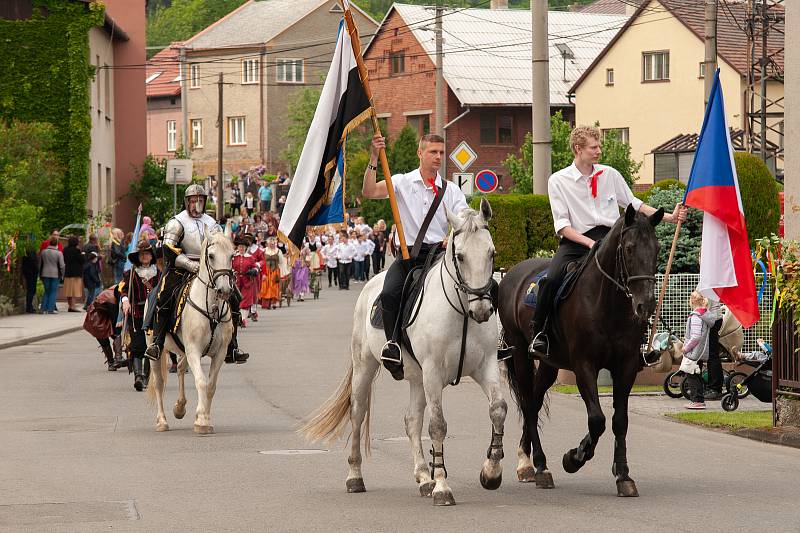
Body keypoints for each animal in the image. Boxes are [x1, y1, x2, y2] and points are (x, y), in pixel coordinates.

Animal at [145, 227, 236, 434]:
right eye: (211, 256)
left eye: (232, 255)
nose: (225, 290)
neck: (212, 308)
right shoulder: (193, 349)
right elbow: (201, 381)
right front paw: (201, 421)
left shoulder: (219, 353)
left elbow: (210, 385)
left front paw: (205, 418)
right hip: (156, 349)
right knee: (159, 383)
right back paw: (162, 421)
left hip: (184, 350)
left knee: (179, 368)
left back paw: (179, 407)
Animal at [300, 197, 506, 504]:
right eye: (460, 256)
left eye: (491, 253)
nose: (481, 310)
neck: (461, 313)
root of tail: (371, 284)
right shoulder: (433, 372)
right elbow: (438, 425)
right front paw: (442, 486)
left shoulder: (486, 366)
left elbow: (498, 410)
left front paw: (491, 473)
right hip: (366, 367)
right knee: (357, 413)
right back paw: (355, 477)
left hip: (418, 378)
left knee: (412, 420)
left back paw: (423, 477)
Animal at [500, 206, 664, 496]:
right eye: (630, 248)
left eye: (657, 248)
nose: (645, 305)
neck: (606, 302)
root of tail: (511, 273)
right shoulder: (584, 366)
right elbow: (597, 419)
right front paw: (574, 457)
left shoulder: (626, 366)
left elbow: (619, 420)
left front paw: (623, 475)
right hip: (520, 353)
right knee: (529, 404)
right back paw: (540, 467)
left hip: (549, 363)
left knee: (535, 401)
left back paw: (528, 462)